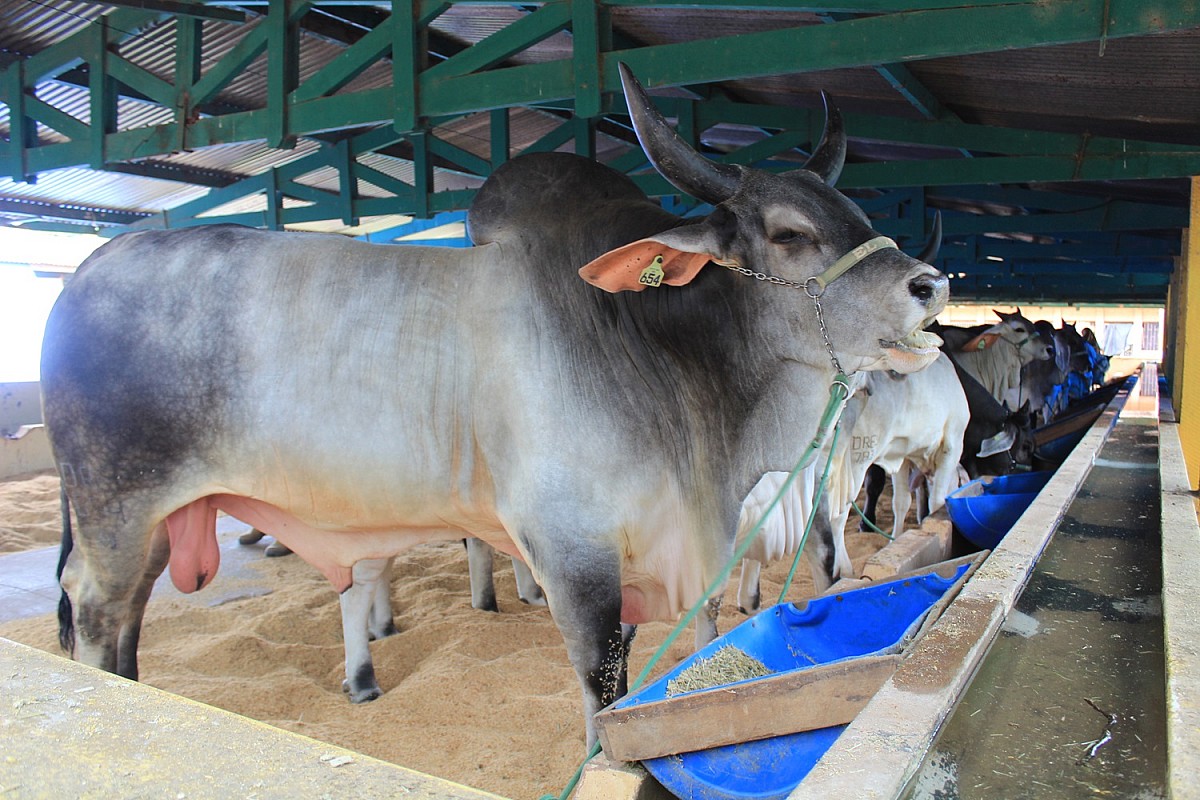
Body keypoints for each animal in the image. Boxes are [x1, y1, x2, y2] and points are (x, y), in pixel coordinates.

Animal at [44, 65, 945, 748]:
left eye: (858, 215)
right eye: (791, 233)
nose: (930, 284)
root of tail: (90, 268)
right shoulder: (574, 555)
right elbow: (603, 692)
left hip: (159, 522)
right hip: (117, 510)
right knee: (95, 609)